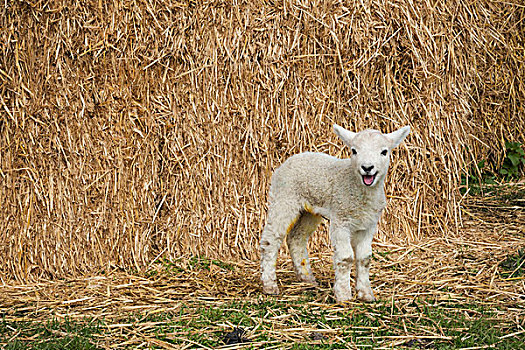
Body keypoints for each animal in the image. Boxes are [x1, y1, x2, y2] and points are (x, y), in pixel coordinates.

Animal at [258, 124, 410, 302]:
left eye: (384, 151)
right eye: (354, 151)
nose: (367, 168)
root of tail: (293, 157)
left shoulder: (368, 225)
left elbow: (364, 258)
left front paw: (366, 294)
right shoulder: (341, 220)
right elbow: (346, 258)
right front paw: (344, 295)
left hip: (309, 211)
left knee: (296, 238)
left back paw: (307, 278)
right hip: (284, 198)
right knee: (270, 240)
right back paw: (269, 285)